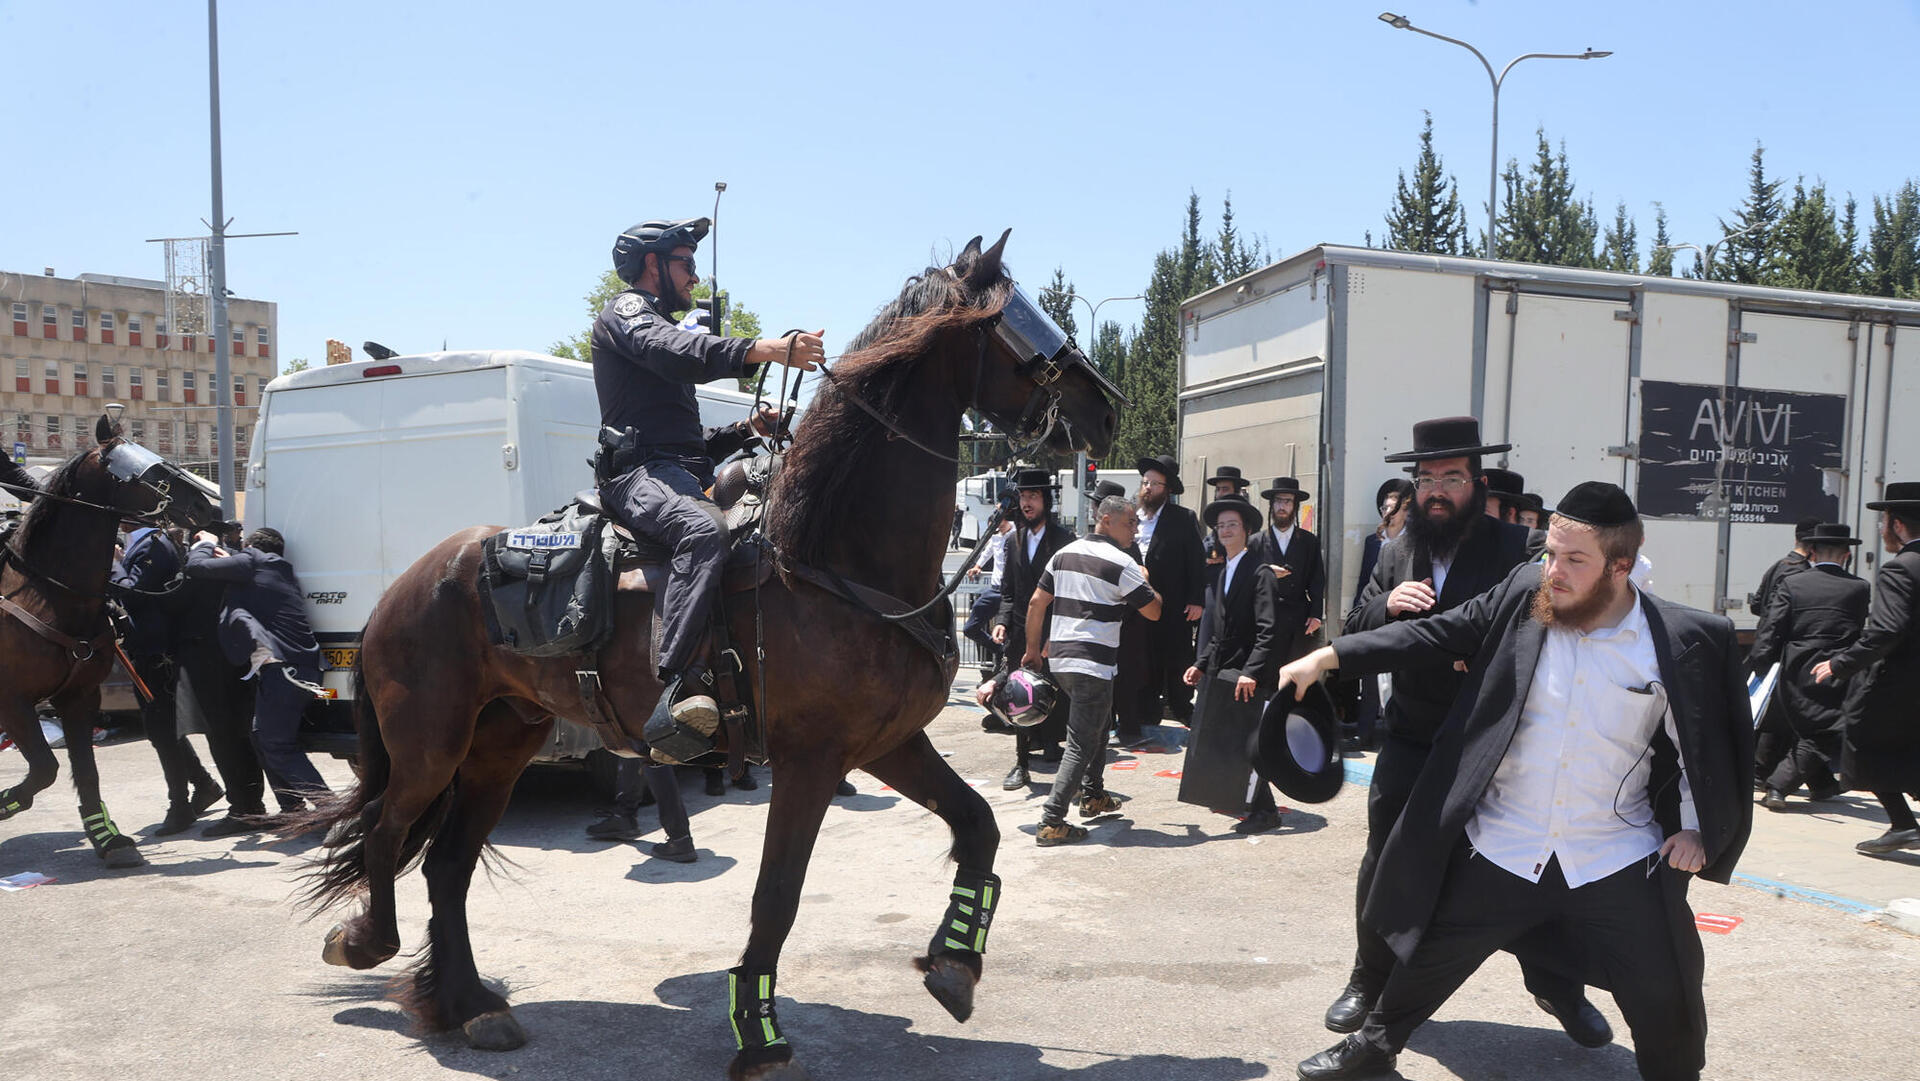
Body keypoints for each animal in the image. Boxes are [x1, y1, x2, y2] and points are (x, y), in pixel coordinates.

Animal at [0, 418, 218, 867]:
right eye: (152, 472)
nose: (207, 508)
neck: (46, 593)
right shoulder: (11, 699)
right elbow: (45, 767)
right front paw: (5, 802)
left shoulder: (79, 696)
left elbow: (84, 770)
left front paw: (108, 840)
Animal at [291, 232, 1121, 1075]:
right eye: (1024, 330)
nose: (1107, 407)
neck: (829, 559)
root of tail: (405, 582)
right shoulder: (812, 759)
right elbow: (776, 894)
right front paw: (759, 1032)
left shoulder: (887, 743)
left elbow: (978, 823)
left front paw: (954, 961)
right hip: (430, 745)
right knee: (385, 833)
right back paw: (367, 943)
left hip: (499, 747)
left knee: (446, 865)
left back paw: (469, 1004)